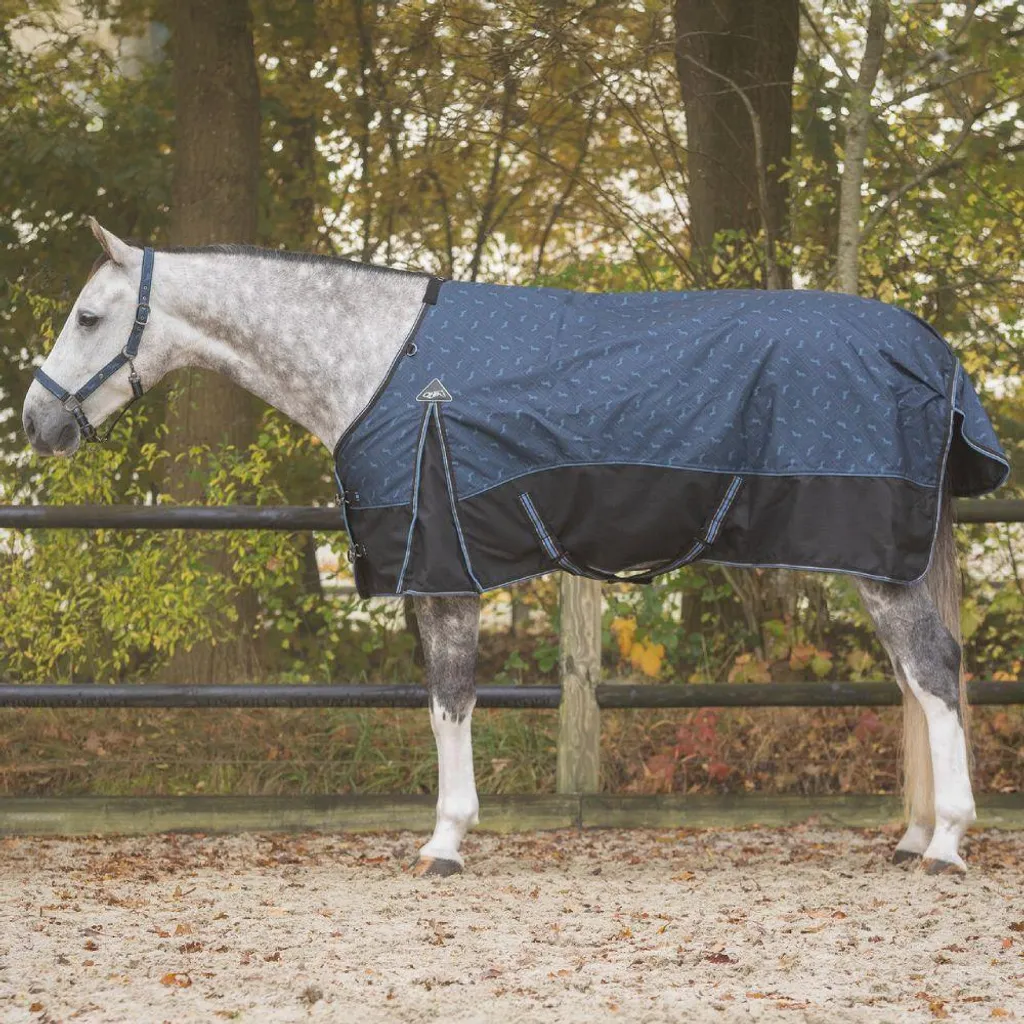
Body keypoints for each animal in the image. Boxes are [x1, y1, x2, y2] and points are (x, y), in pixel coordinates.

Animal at [22, 219, 1008, 876]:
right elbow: (443, 705)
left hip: (877, 557)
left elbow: (449, 701)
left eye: (87, 317)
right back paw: (913, 835)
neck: (380, 360)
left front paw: (445, 842)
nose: (36, 421)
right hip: (881, 561)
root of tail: (933, 353)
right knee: (914, 681)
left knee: (933, 671)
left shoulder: (440, 566)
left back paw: (947, 843)